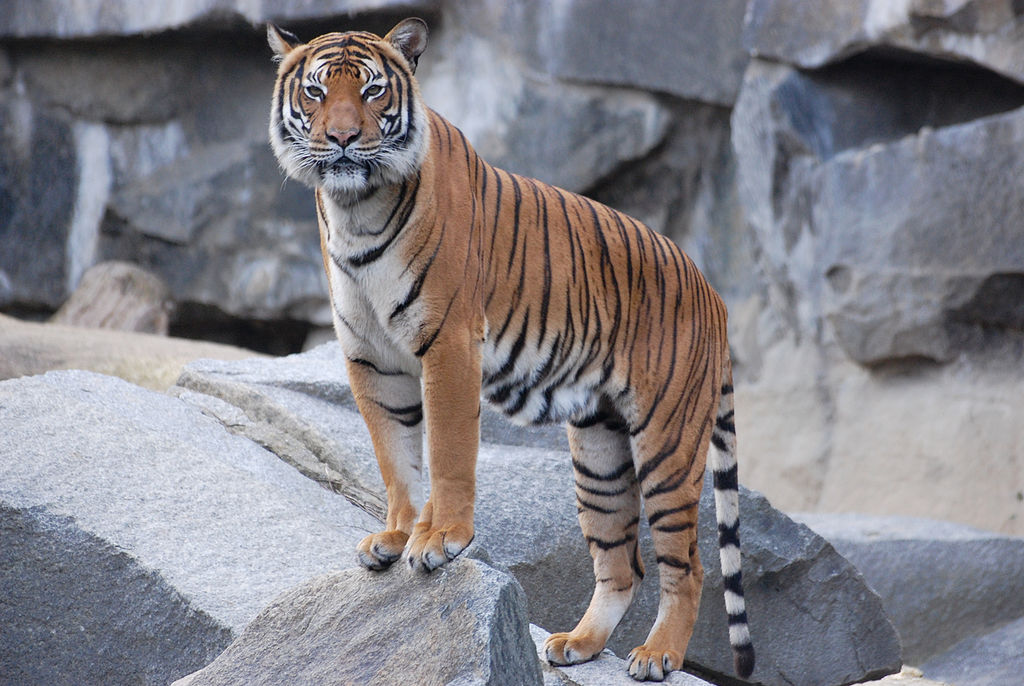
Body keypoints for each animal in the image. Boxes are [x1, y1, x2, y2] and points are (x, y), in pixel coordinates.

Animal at [267, 18, 754, 682]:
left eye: (371, 92)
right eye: (316, 92)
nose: (341, 138)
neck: (354, 209)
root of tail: (714, 295)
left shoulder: (447, 342)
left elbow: (447, 451)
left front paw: (440, 540)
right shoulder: (371, 358)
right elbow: (395, 458)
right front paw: (394, 537)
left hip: (666, 442)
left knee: (689, 563)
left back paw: (657, 655)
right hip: (599, 453)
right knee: (622, 561)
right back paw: (578, 643)